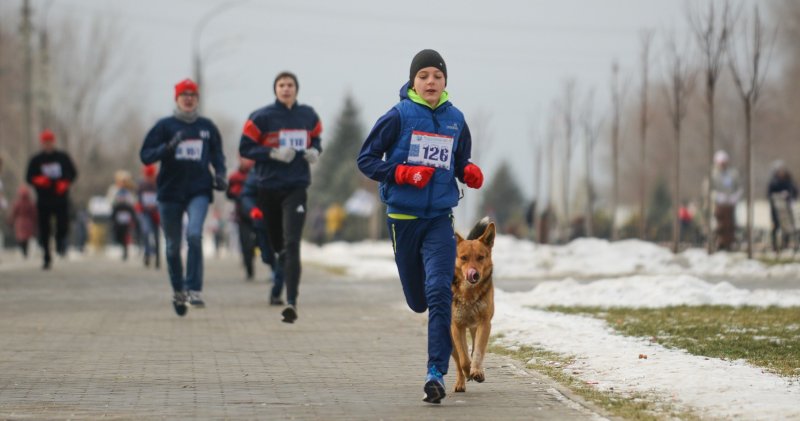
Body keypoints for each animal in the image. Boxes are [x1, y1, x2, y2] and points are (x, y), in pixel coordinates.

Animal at [450, 218, 494, 392]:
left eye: (481, 257)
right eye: (463, 258)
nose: (474, 274)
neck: (468, 294)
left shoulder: (484, 323)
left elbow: (478, 352)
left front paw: (477, 372)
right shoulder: (456, 326)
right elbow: (463, 360)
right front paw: (468, 372)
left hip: (476, 328)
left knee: (476, 348)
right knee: (458, 361)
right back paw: (460, 382)